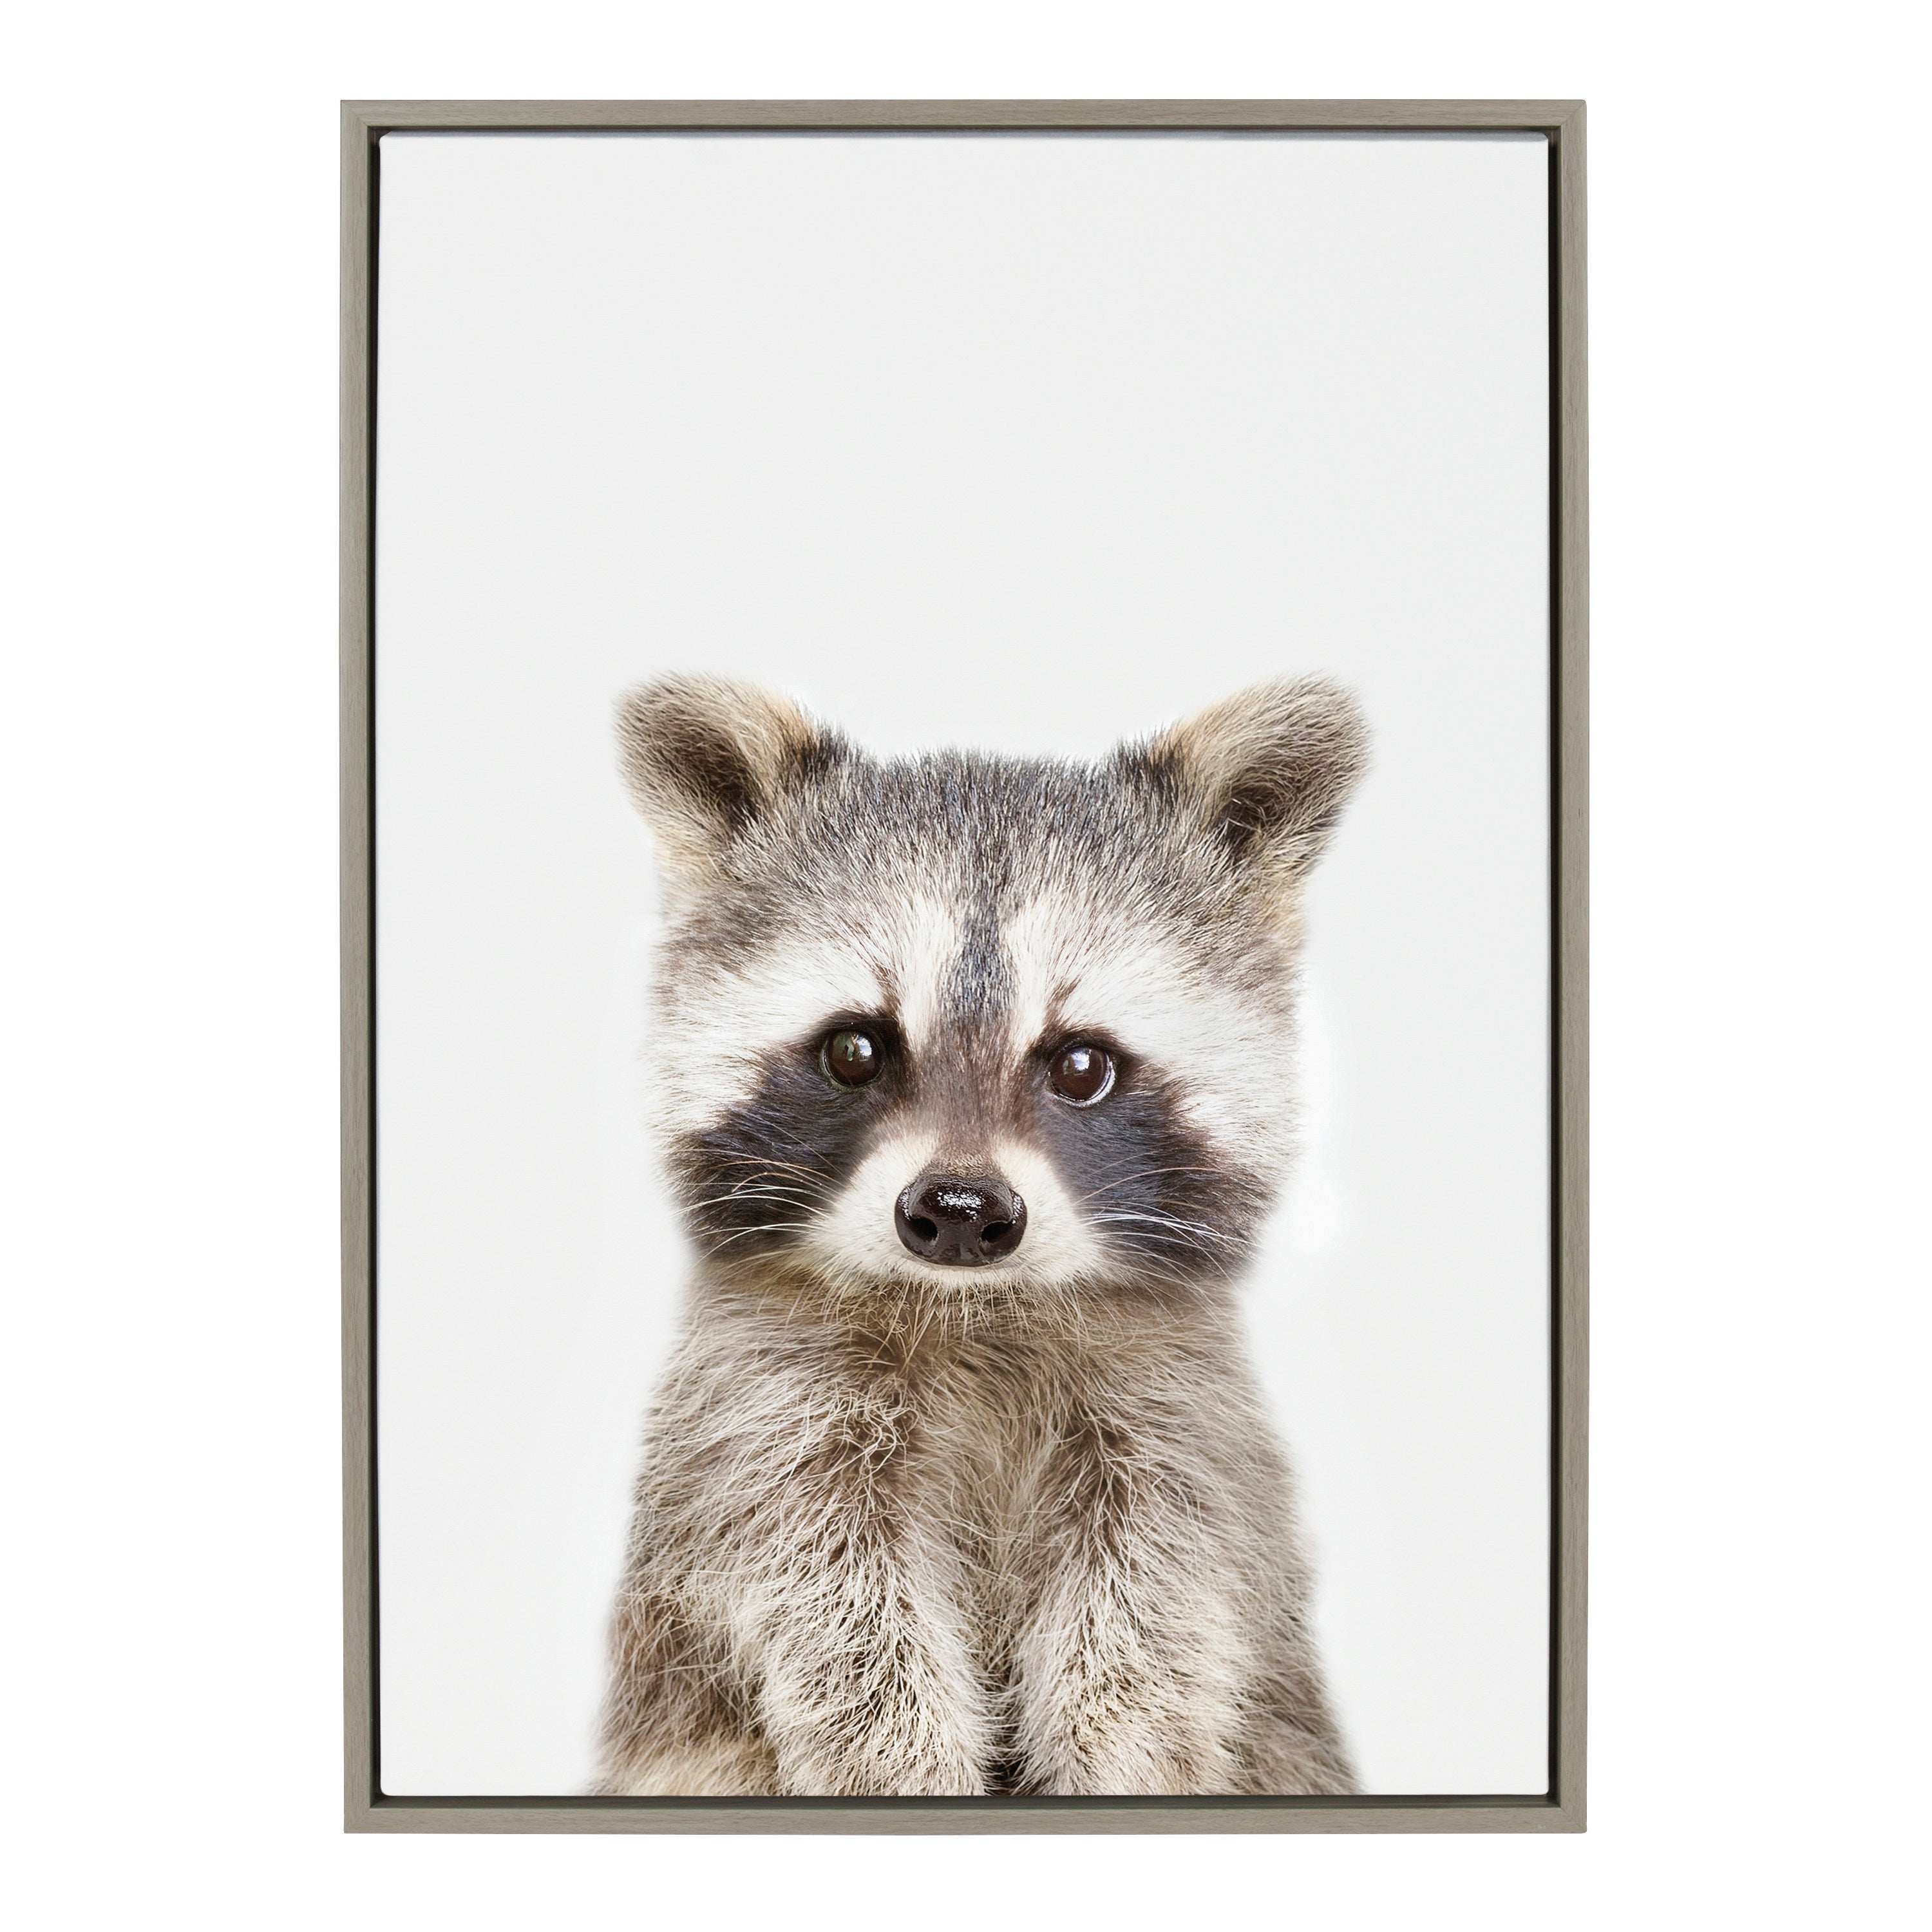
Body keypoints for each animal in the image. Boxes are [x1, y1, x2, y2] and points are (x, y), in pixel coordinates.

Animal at [594, 673, 1367, 1798]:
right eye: (855, 1049)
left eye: (1082, 1064)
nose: (959, 1214)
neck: (975, 1310)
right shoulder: (757, 1413)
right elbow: (827, 1598)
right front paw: (899, 1763)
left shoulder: (1180, 1415)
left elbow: (1158, 1604)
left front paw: (1117, 1755)